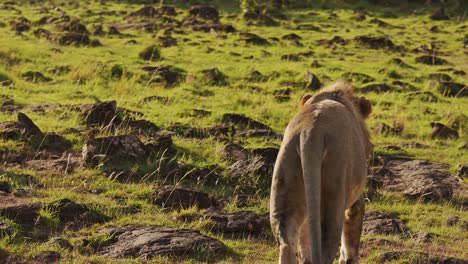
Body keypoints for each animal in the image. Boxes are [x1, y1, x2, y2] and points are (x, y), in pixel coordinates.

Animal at [268, 82, 372, 264]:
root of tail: (310, 131)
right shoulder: (356, 200)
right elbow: (350, 246)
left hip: (284, 184)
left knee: (287, 245)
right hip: (334, 195)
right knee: (325, 251)